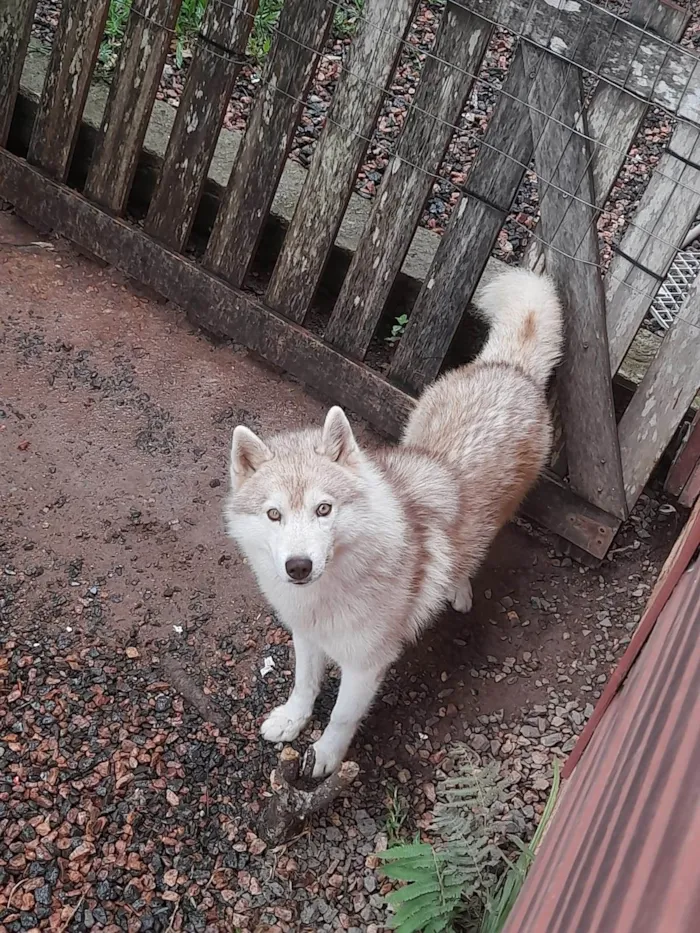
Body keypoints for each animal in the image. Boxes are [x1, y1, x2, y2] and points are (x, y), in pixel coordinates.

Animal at [224, 266, 564, 776]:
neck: (331, 592)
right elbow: (304, 685)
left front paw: (325, 756)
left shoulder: (366, 665)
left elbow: (342, 717)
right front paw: (291, 719)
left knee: (472, 551)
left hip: (501, 513)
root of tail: (509, 369)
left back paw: (458, 588)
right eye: (273, 514)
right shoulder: (307, 636)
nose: (298, 567)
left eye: (324, 509)